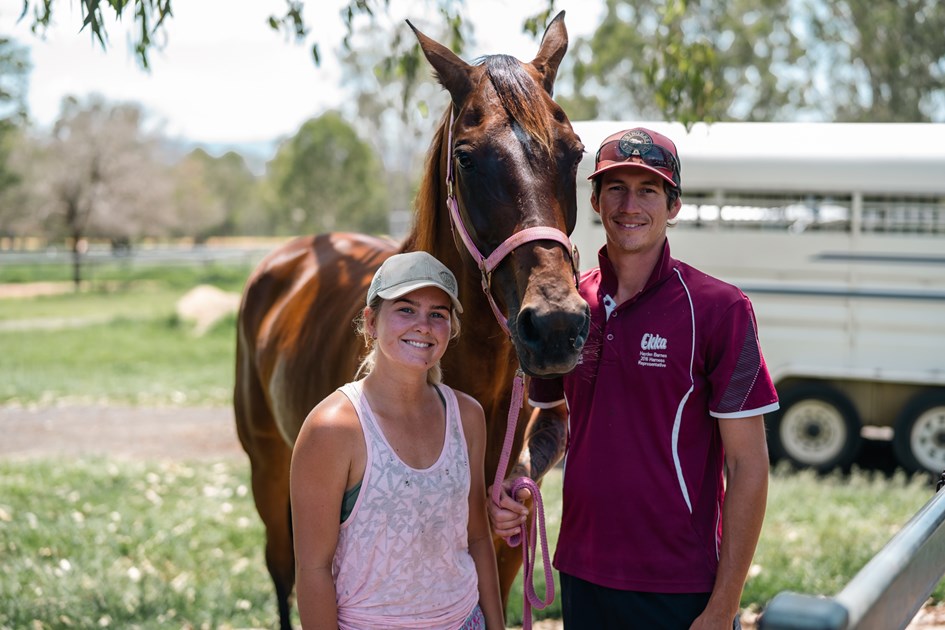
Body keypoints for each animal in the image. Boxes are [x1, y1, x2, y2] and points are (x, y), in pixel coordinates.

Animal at [235, 11, 588, 630]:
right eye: (466, 157)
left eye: (574, 152)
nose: (554, 326)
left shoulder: (504, 539)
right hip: (268, 466)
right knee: (281, 571)